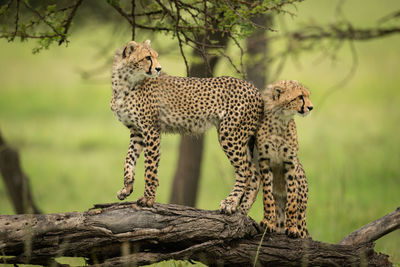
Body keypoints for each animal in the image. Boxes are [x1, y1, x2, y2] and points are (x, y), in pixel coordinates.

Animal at [111, 40, 264, 214]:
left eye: (155, 56)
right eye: (147, 57)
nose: (158, 68)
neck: (125, 82)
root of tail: (254, 88)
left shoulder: (151, 130)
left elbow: (150, 167)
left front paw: (148, 199)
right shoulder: (137, 132)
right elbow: (129, 159)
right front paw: (126, 189)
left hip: (230, 135)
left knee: (245, 171)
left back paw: (230, 203)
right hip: (241, 137)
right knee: (255, 174)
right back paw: (243, 210)